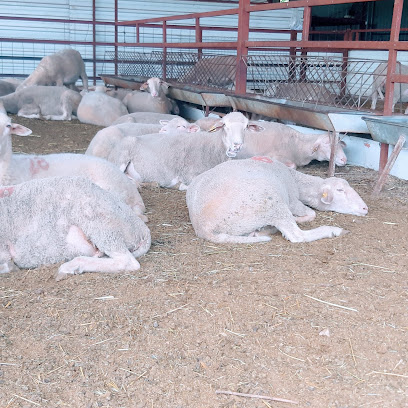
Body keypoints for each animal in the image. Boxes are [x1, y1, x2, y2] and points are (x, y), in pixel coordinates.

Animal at [107, 110, 262, 190]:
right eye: (225, 126)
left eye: (246, 127)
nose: (236, 145)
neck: (214, 147)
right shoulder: (189, 175)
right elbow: (184, 186)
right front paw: (178, 185)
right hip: (121, 158)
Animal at [186, 158, 368, 244]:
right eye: (340, 190)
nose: (365, 208)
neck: (296, 180)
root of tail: (203, 227)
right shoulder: (293, 200)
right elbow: (311, 214)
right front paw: (299, 218)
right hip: (271, 202)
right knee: (297, 236)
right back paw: (334, 230)